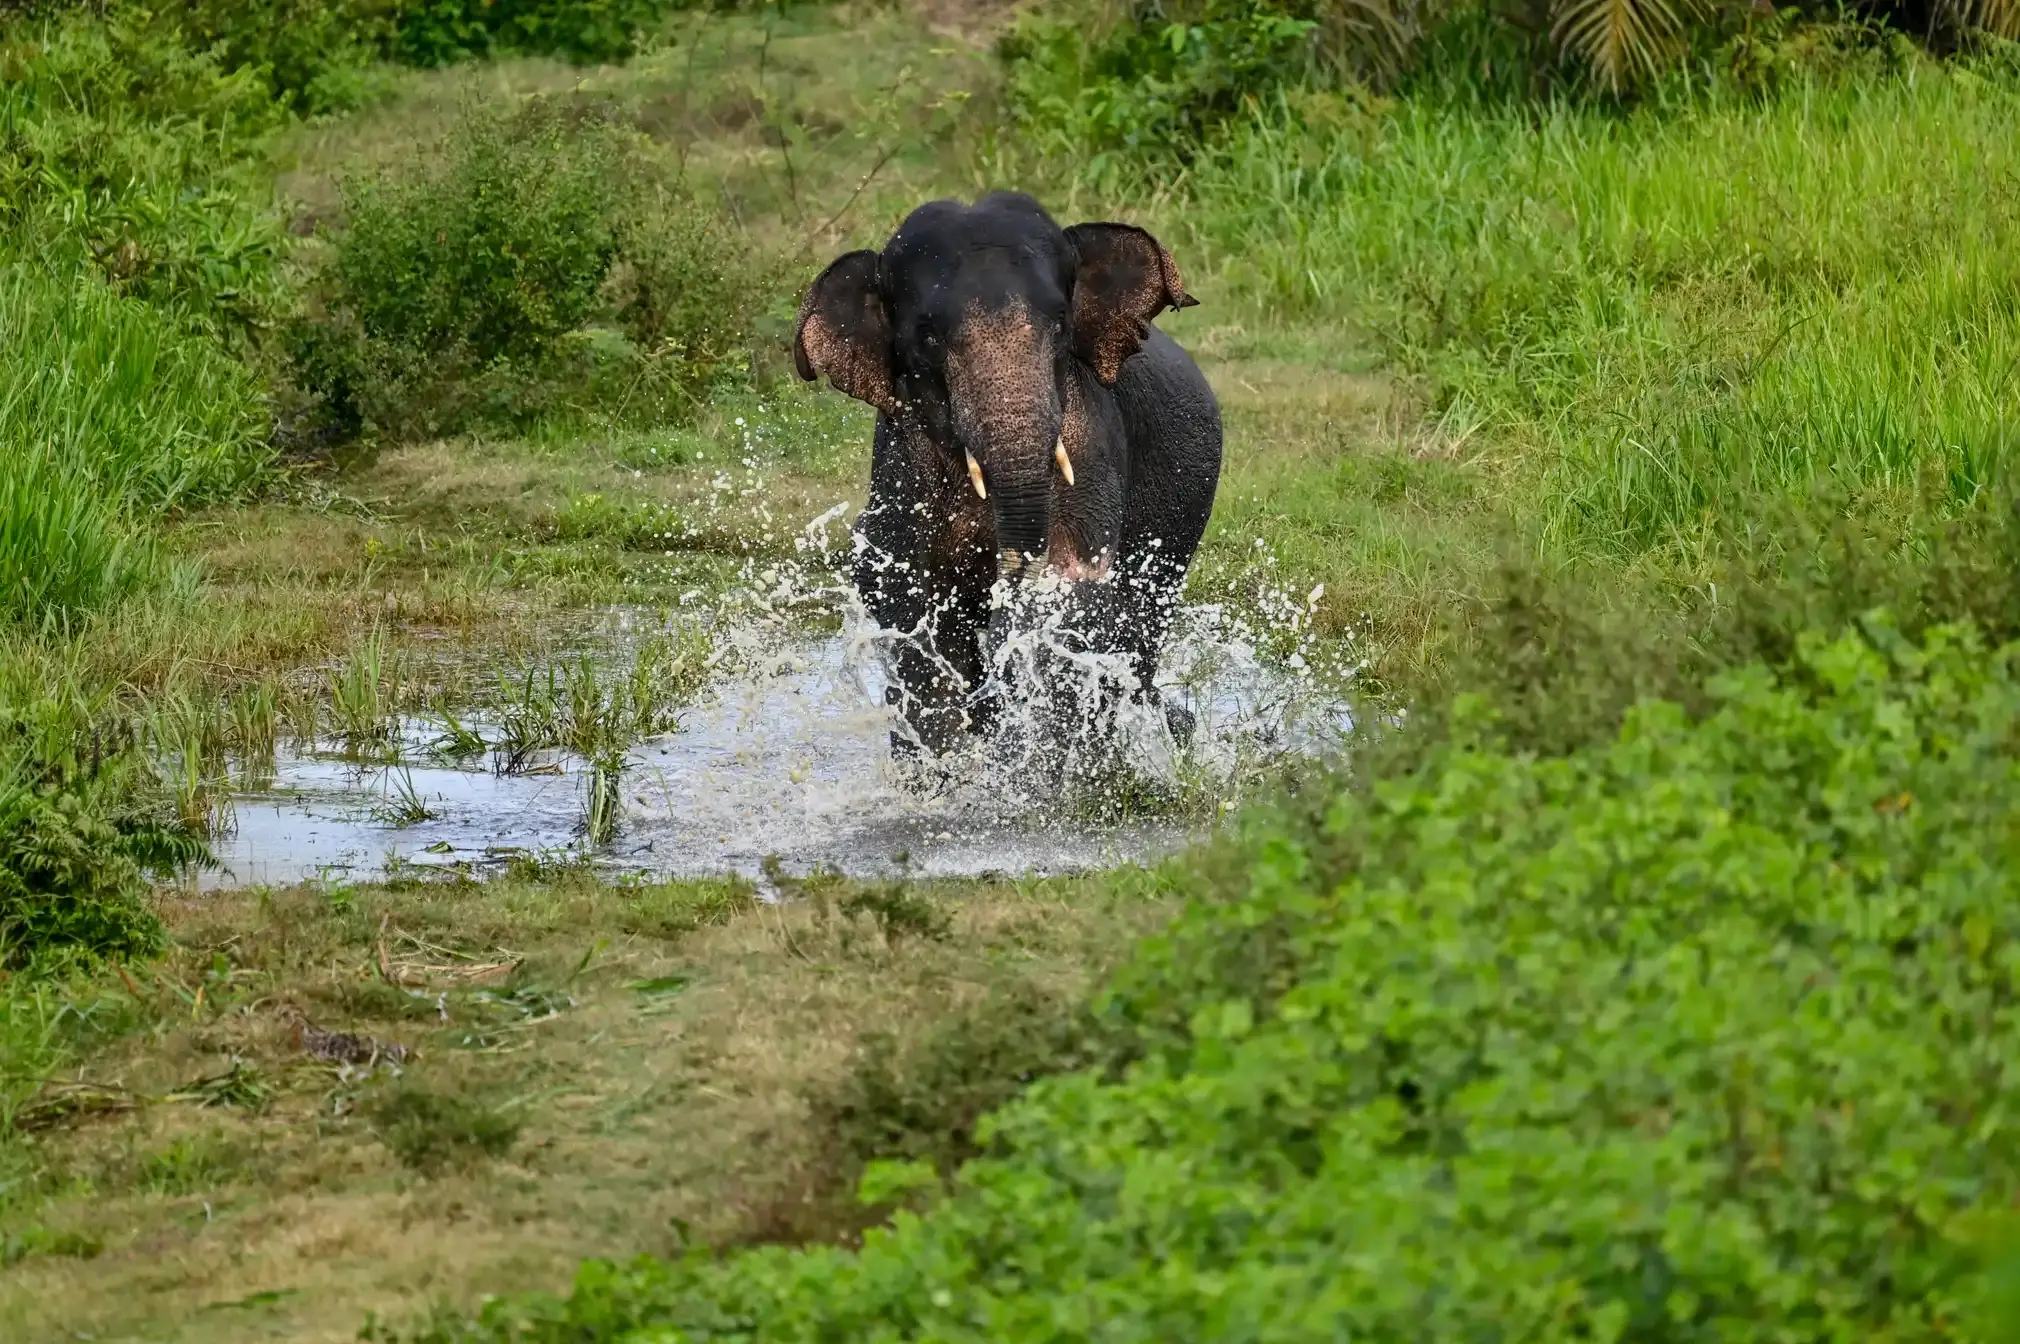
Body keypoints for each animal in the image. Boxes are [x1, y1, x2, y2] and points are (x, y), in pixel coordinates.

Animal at [793, 191, 1223, 759]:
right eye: (927, 337)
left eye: (1061, 323)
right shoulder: (900, 461)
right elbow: (898, 583)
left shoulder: (1089, 435)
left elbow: (1075, 581)